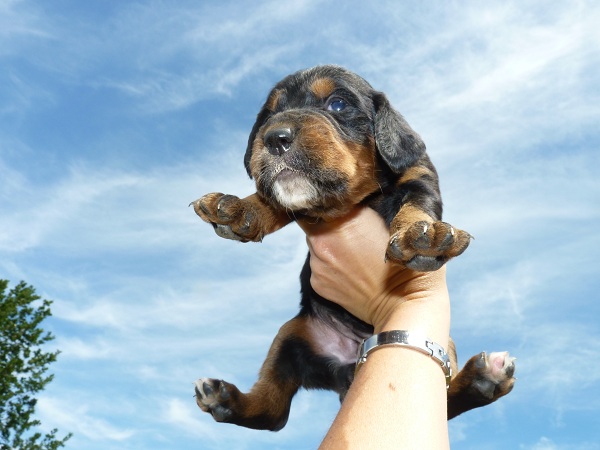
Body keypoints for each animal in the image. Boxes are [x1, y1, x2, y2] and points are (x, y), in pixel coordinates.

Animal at [192, 66, 516, 428]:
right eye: (268, 115)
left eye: (338, 104)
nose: (274, 137)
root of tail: (349, 368)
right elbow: (271, 201)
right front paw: (237, 208)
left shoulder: (417, 173)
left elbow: (416, 204)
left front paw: (423, 236)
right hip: (288, 337)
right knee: (272, 410)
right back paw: (223, 398)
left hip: (445, 341)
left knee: (444, 403)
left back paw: (482, 379)